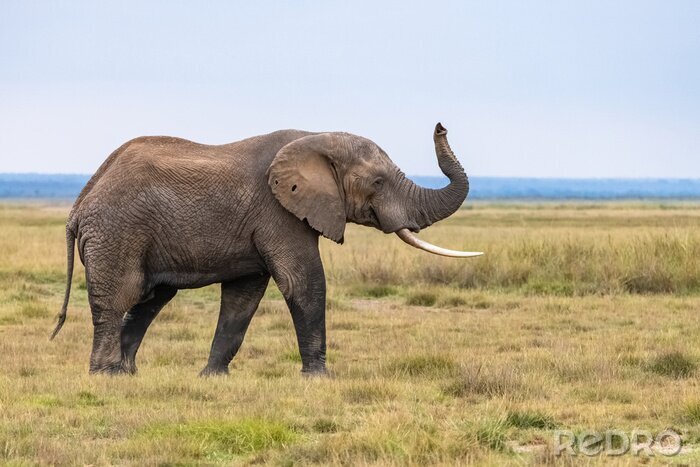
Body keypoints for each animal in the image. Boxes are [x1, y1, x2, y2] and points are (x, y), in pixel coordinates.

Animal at [50, 122, 481, 376]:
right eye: (377, 182)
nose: (441, 125)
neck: (314, 138)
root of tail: (80, 203)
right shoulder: (279, 212)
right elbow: (303, 282)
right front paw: (319, 379)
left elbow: (243, 297)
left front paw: (212, 378)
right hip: (117, 233)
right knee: (120, 297)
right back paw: (105, 375)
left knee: (151, 299)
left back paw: (128, 374)